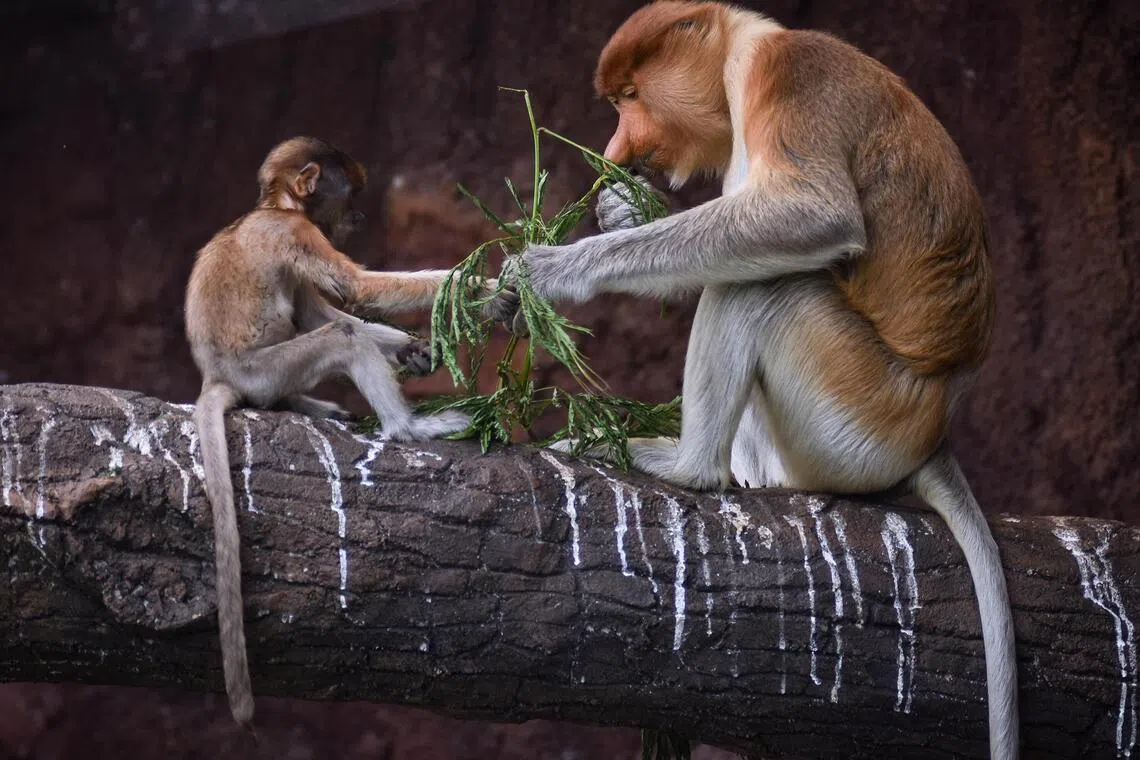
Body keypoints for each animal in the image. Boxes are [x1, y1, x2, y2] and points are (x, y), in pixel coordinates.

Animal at [186, 136, 480, 727]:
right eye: (352, 196)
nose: (360, 217)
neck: (274, 206)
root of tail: (218, 375)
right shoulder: (295, 234)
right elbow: (354, 294)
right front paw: (489, 289)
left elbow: (322, 310)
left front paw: (415, 349)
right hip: (263, 369)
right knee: (341, 337)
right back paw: (409, 429)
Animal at [489, 4, 1018, 757]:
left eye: (629, 96)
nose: (617, 150)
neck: (741, 50)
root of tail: (933, 431)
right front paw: (623, 209)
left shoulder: (788, 77)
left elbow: (808, 215)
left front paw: (552, 270)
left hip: (856, 410)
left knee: (765, 289)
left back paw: (684, 466)